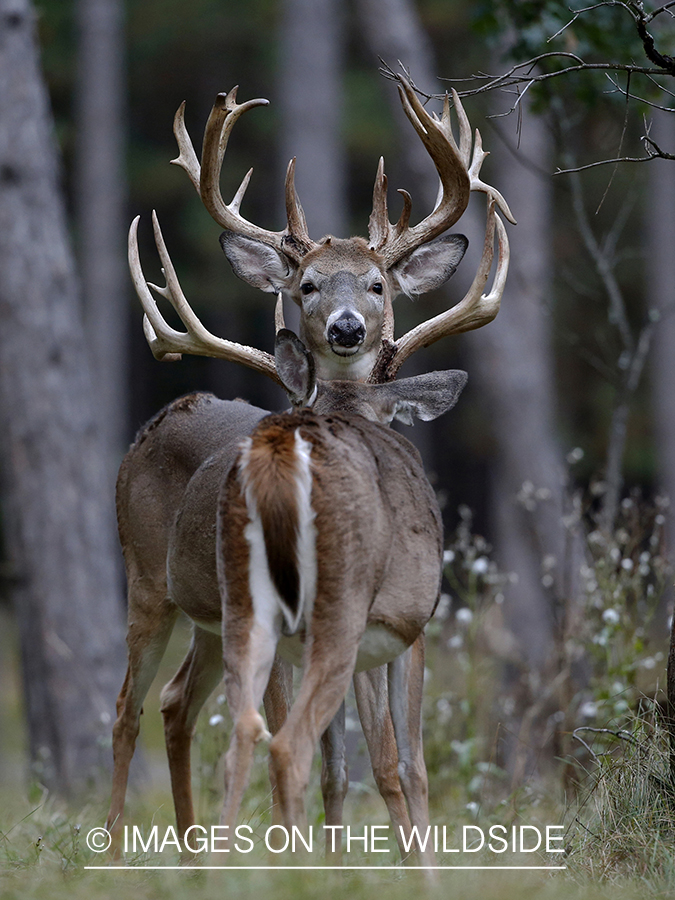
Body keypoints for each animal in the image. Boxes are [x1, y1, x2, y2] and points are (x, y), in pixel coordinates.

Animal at [107, 72, 512, 864]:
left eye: (378, 285)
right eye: (308, 285)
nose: (347, 330)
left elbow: (352, 764)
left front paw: (332, 859)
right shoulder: (402, 620)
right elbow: (396, 764)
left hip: (224, 616)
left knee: (186, 708)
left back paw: (204, 856)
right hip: (156, 586)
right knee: (133, 710)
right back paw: (114, 852)